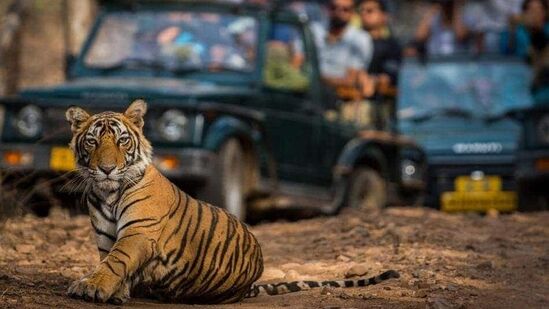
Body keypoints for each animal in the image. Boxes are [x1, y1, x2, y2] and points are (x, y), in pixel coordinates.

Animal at [64, 99, 400, 304]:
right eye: (92, 141)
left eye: (122, 141)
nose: (107, 168)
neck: (108, 192)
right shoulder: (106, 236)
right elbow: (109, 260)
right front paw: (113, 290)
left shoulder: (139, 232)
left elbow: (116, 260)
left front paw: (91, 287)